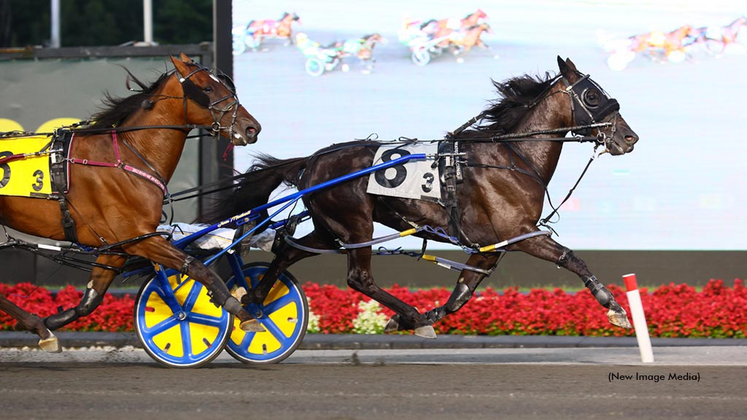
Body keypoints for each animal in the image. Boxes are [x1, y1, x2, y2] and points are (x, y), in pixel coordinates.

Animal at [0, 54, 262, 352]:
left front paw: (53, 321)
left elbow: (91, 299)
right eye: (207, 88)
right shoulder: (140, 238)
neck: (128, 156)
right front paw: (241, 311)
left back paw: (39, 326)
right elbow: (196, 267)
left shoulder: (117, 244)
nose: (251, 127)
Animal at [207, 56, 640, 338]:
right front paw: (615, 308)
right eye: (592, 96)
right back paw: (408, 312)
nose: (629, 137)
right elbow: (572, 258)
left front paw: (423, 318)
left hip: (330, 228)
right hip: (356, 225)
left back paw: (253, 302)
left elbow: (461, 294)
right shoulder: (521, 233)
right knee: (358, 277)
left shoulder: (490, 247)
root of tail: (312, 160)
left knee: (288, 250)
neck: (510, 156)